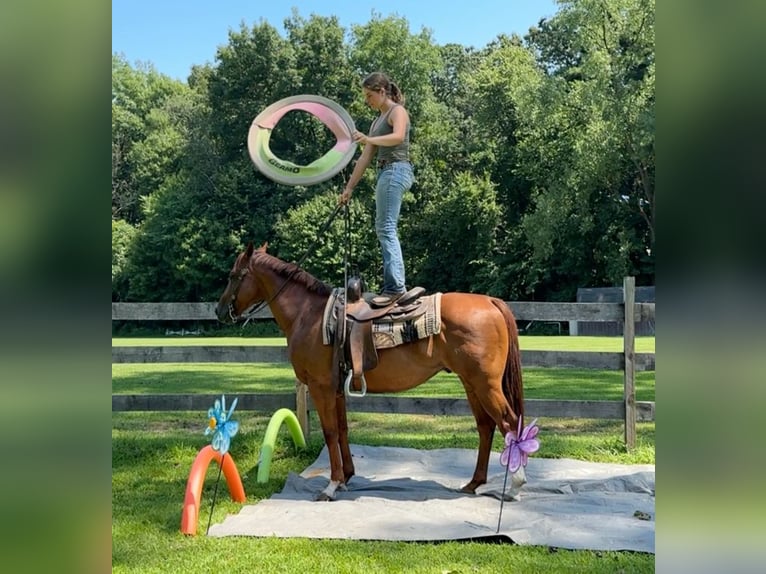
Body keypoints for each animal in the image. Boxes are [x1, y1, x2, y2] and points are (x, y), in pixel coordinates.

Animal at [216, 244, 528, 504]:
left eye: (232, 275)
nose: (219, 310)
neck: (309, 315)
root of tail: (490, 301)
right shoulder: (336, 389)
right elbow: (342, 429)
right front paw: (345, 478)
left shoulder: (320, 387)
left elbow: (330, 431)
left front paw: (331, 486)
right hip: (471, 383)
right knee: (486, 427)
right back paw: (474, 483)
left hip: (486, 384)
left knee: (510, 423)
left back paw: (515, 487)